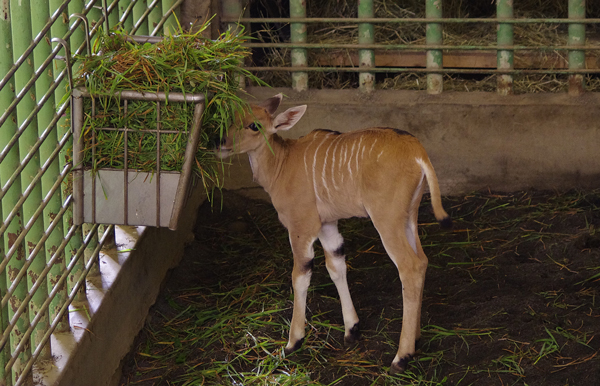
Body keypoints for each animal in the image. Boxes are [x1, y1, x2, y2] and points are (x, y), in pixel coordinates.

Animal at [216, 94, 450, 374]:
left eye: (254, 125)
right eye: (230, 117)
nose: (220, 142)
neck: (283, 163)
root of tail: (418, 153)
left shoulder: (302, 226)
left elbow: (300, 275)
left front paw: (293, 341)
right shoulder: (327, 224)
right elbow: (336, 266)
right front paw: (352, 329)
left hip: (387, 219)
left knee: (410, 267)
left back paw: (401, 356)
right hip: (408, 217)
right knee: (422, 261)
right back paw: (415, 338)